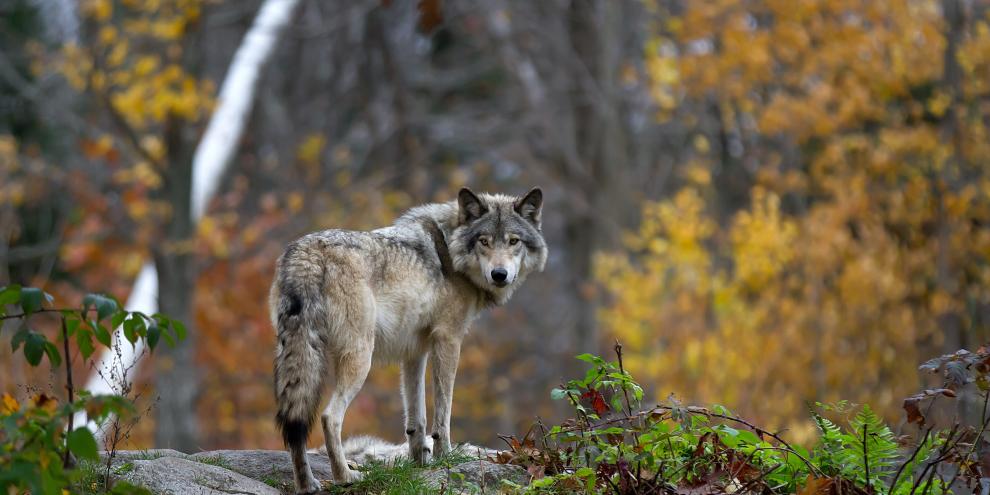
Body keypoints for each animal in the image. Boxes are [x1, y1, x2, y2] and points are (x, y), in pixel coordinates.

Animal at [271, 187, 547, 493]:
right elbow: (443, 413)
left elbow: (417, 418)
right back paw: (346, 477)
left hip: (298, 357)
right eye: (484, 241)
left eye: (513, 241)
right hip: (360, 358)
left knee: (295, 424)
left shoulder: (414, 351)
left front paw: (419, 463)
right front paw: (444, 457)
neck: (449, 250)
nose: (499, 275)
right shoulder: (448, 340)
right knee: (329, 417)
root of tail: (306, 253)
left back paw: (307, 484)